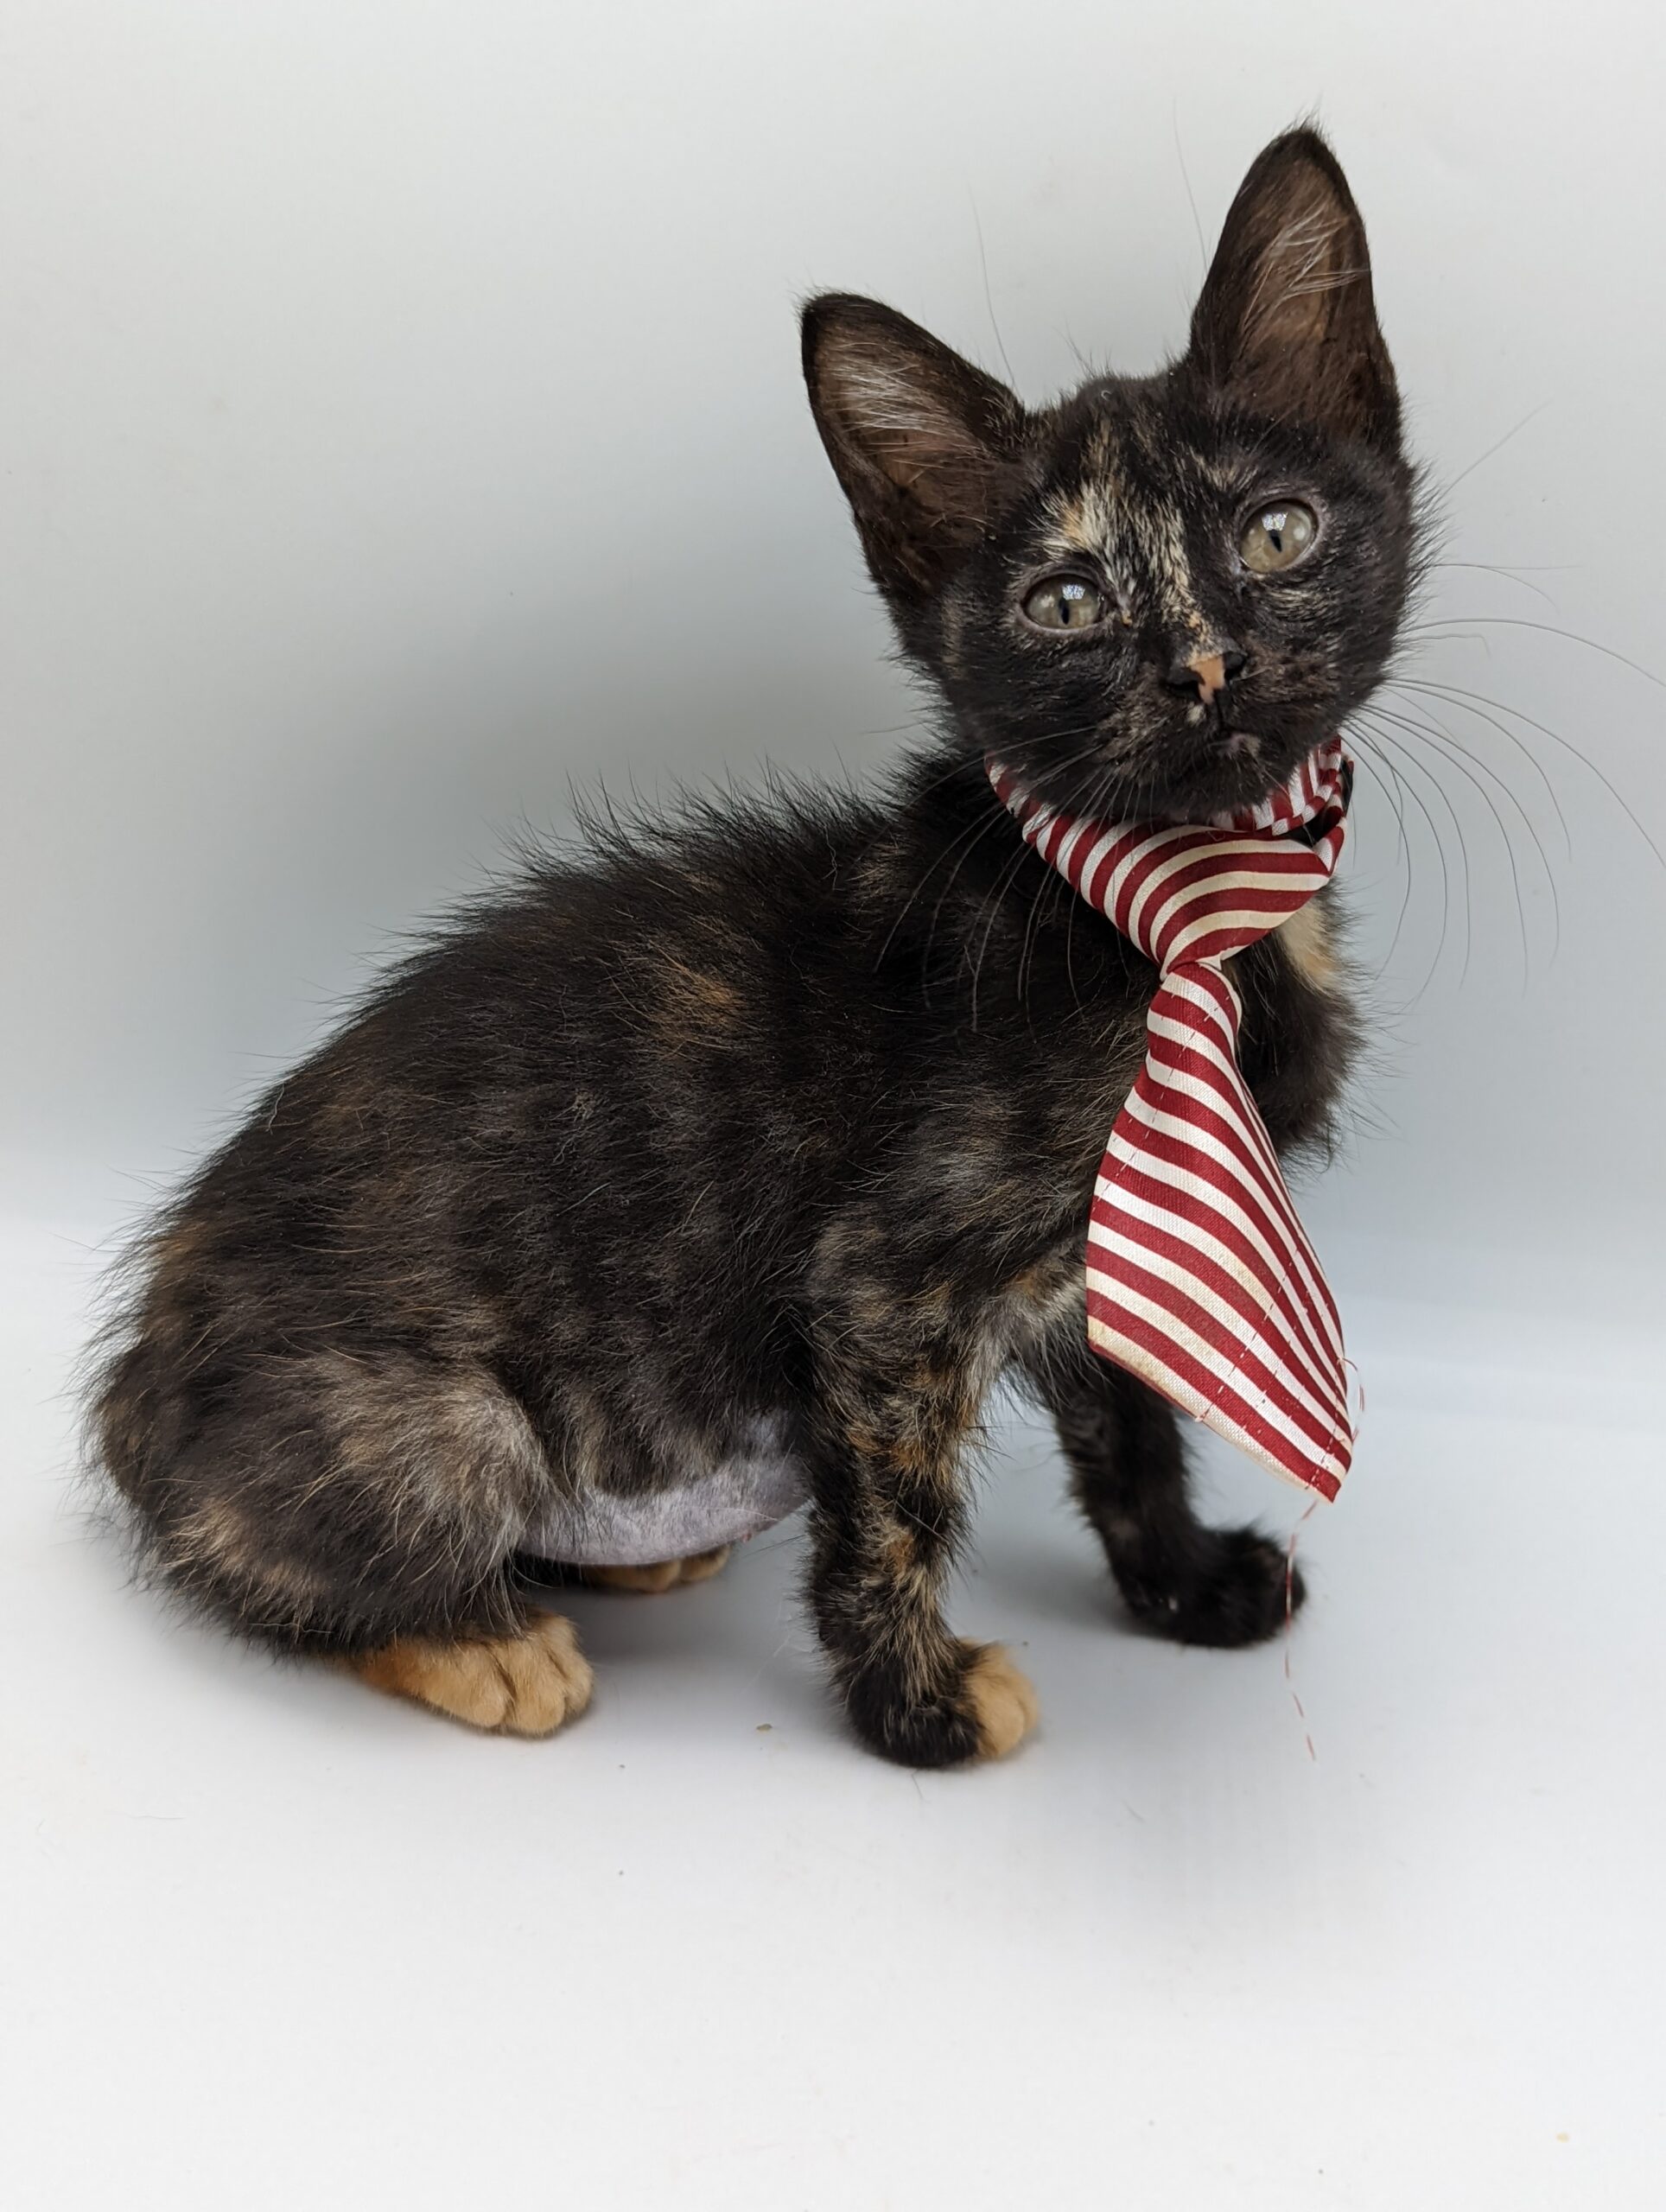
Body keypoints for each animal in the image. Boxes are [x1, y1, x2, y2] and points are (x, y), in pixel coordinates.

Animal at [90, 133, 1407, 1760]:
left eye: (1277, 532)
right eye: (1065, 602)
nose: (1201, 669)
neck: (1168, 912)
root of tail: (128, 1394)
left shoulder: (1119, 1251)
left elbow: (1133, 1425)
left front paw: (1183, 1584)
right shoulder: (889, 1286)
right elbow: (890, 1513)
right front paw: (918, 1709)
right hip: (446, 1427)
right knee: (273, 1575)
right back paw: (481, 1638)